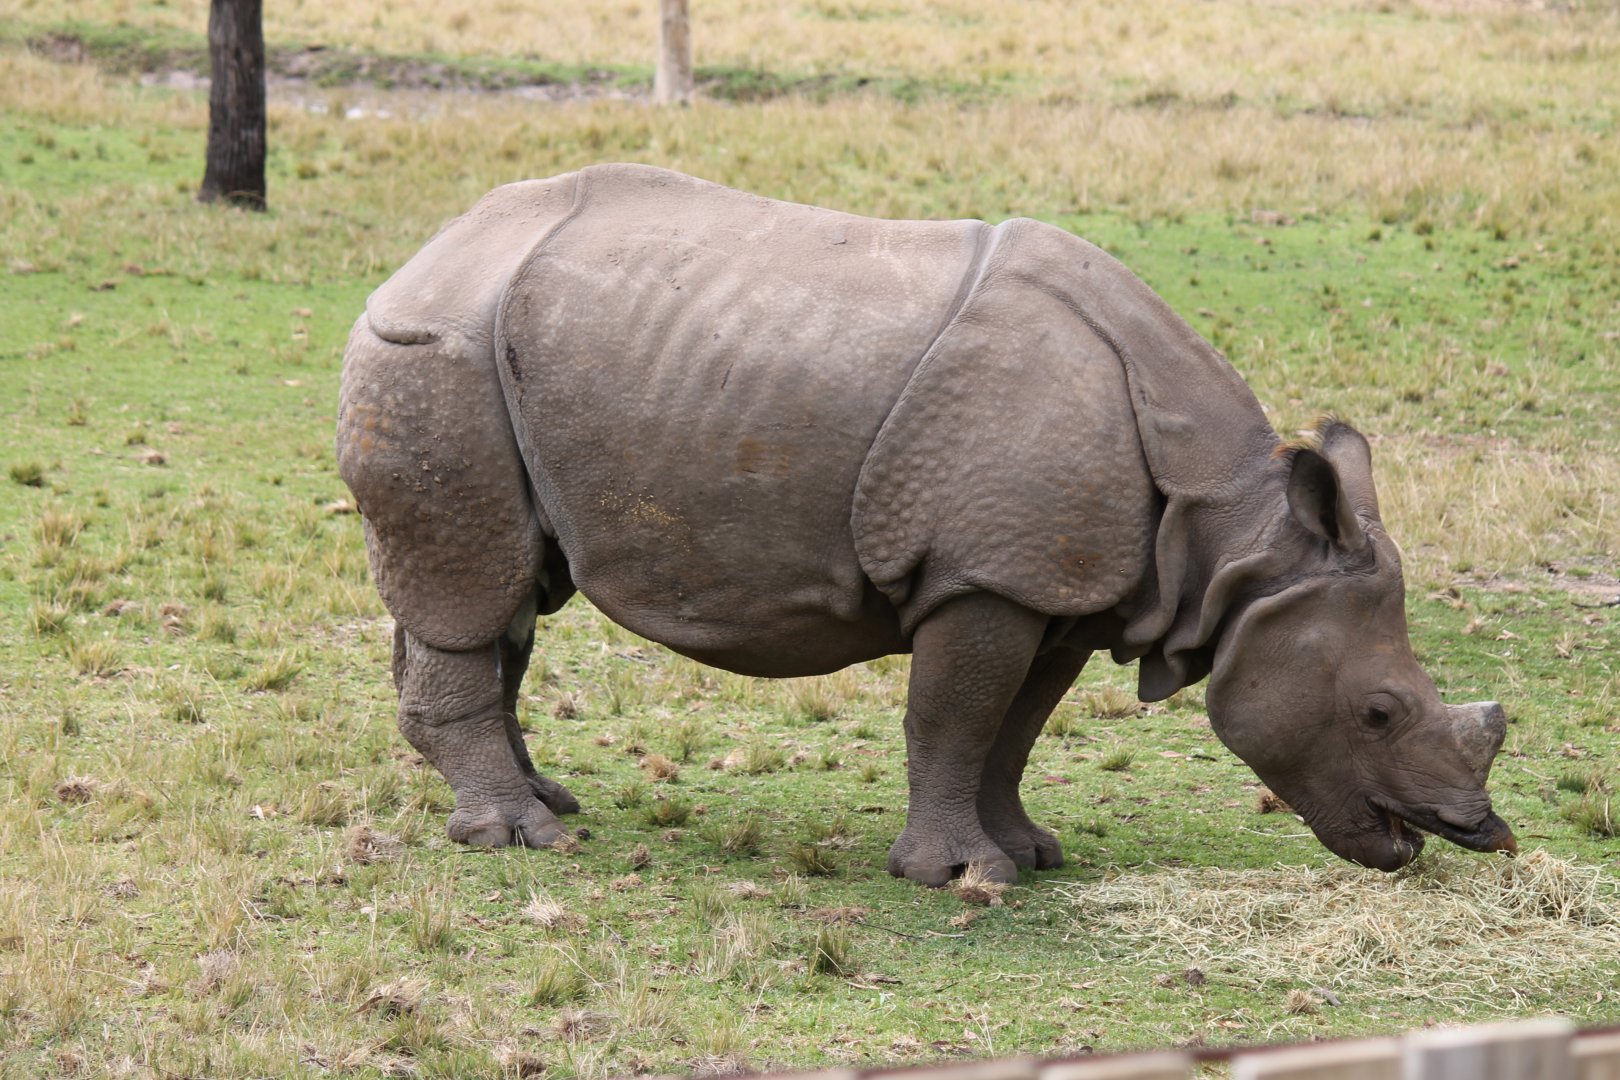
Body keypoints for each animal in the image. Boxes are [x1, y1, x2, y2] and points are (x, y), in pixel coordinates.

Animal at [336, 163, 1516, 885]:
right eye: (1375, 713)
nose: (1474, 834)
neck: (1234, 535)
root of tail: (426, 252)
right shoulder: (985, 574)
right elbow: (953, 717)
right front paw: (956, 874)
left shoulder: (1063, 585)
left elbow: (1015, 726)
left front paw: (1027, 854)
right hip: (436, 350)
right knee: (473, 584)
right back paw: (519, 837)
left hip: (495, 361)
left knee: (508, 590)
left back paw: (548, 800)